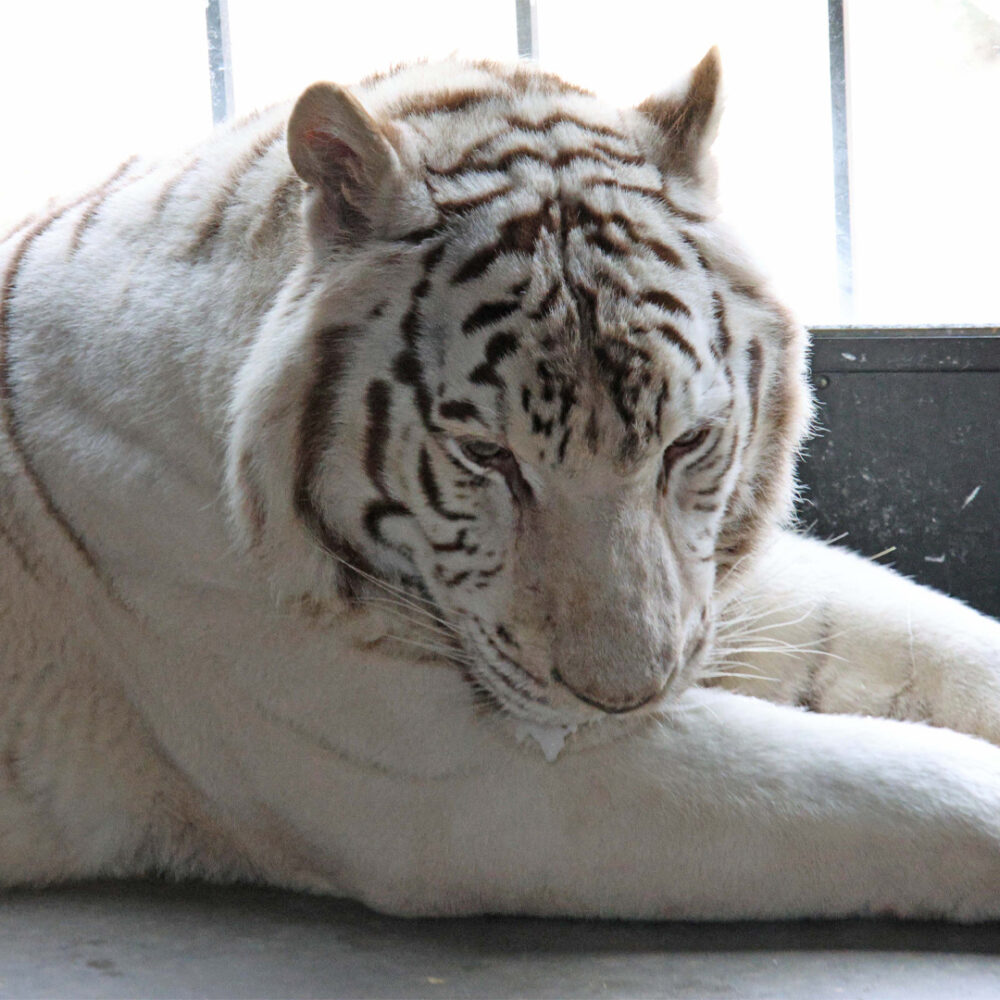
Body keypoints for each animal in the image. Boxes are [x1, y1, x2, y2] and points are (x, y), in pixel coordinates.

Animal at [2, 50, 1000, 920]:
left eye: (687, 443)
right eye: (488, 456)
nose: (628, 700)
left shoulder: (708, 590)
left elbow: (929, 637)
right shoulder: (456, 776)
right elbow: (882, 782)